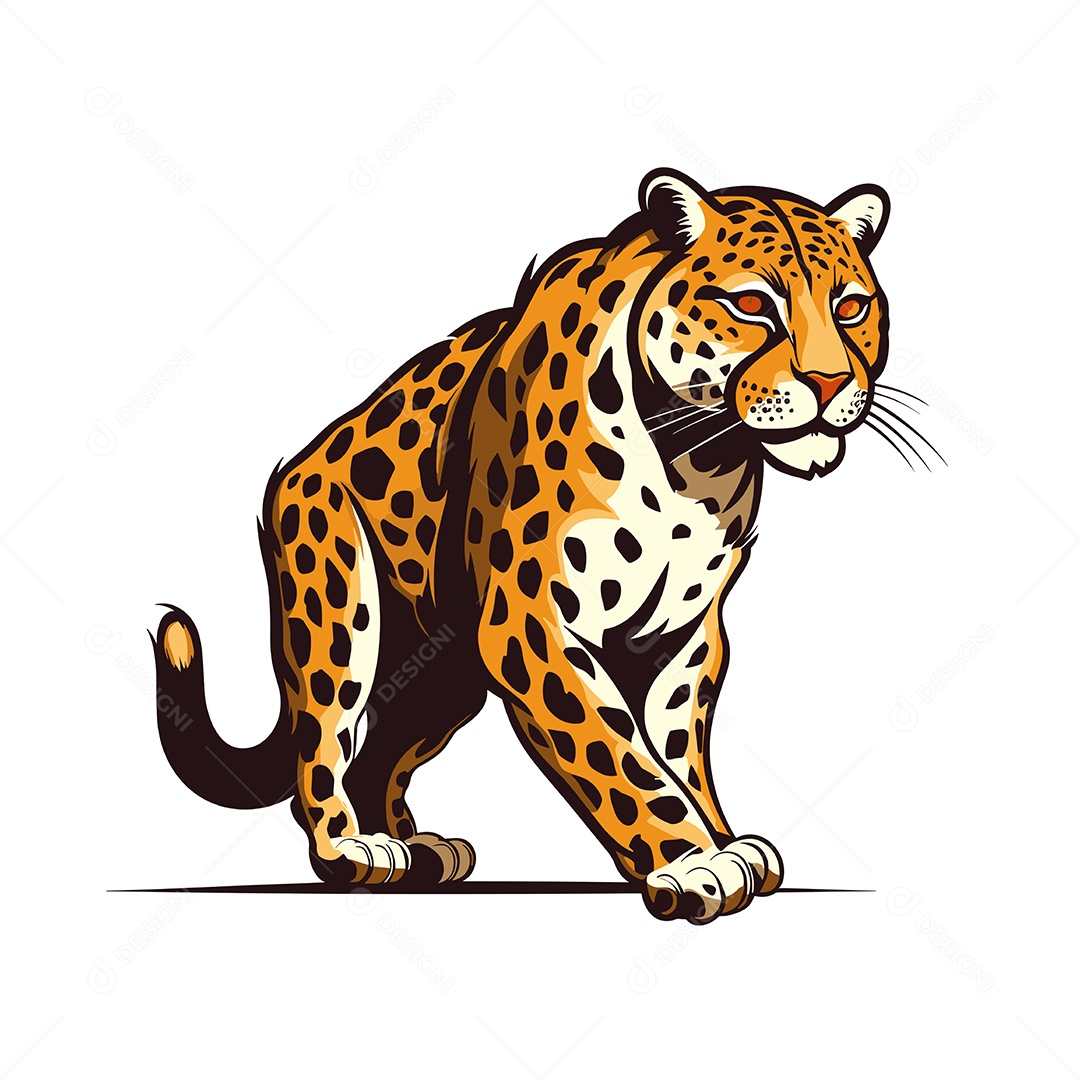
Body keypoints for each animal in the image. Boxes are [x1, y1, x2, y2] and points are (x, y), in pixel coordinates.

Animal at [153, 167, 897, 922]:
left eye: (852, 308)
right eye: (750, 304)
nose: (831, 381)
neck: (696, 464)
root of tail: (300, 464)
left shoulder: (686, 635)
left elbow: (677, 749)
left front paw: (723, 840)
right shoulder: (532, 622)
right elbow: (618, 753)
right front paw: (691, 862)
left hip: (439, 674)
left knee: (378, 756)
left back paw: (418, 852)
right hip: (340, 613)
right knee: (325, 744)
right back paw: (354, 850)